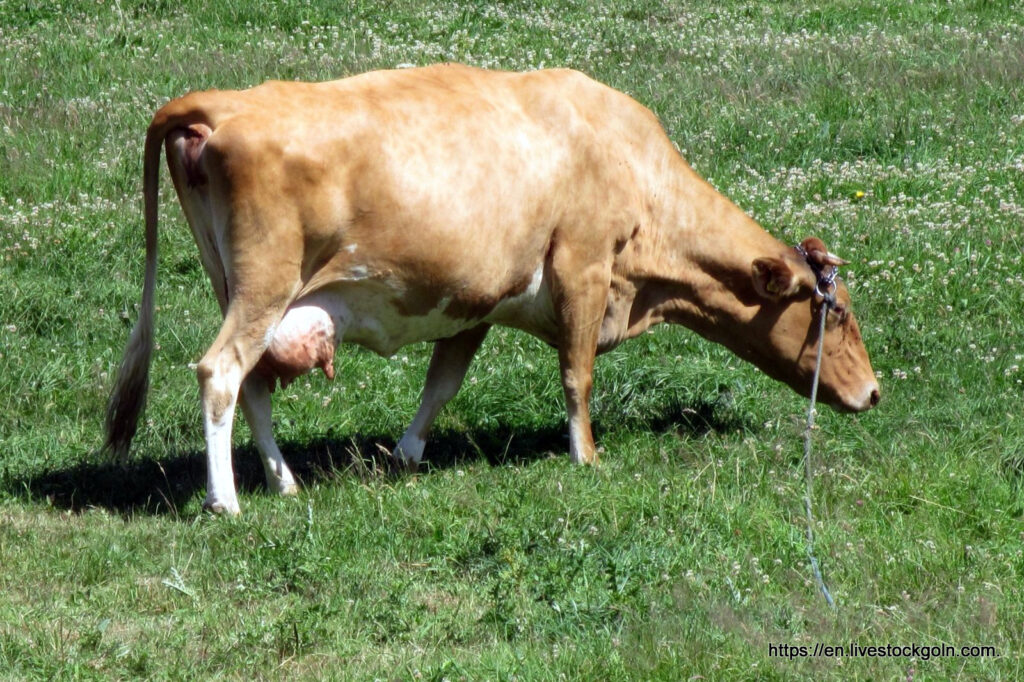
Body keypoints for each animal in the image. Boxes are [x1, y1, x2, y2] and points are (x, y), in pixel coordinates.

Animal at [104, 64, 880, 515]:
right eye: (836, 313)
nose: (874, 393)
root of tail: (219, 102)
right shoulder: (583, 269)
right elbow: (577, 376)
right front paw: (586, 457)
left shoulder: (474, 300)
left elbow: (441, 385)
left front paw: (406, 456)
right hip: (264, 283)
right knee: (220, 372)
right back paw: (227, 502)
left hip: (243, 289)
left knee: (255, 384)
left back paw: (283, 481)